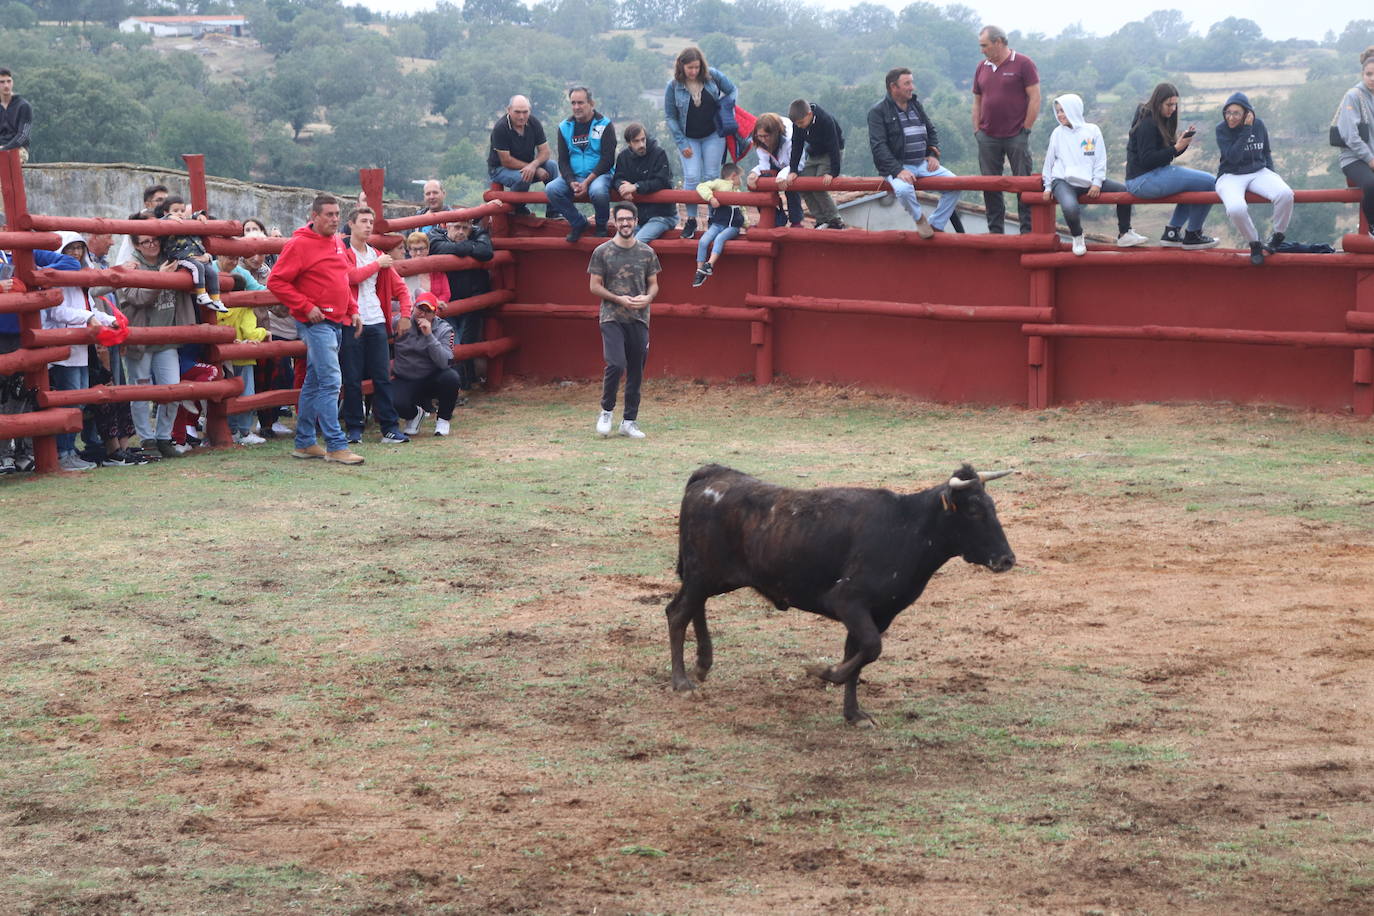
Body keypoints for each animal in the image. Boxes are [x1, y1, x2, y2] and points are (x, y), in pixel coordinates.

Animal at [670, 466, 1016, 725]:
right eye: (973, 510)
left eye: (992, 506)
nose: (1007, 559)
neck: (907, 528)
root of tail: (712, 474)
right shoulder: (848, 602)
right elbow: (871, 648)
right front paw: (823, 672)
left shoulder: (877, 614)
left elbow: (858, 653)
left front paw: (853, 713)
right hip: (704, 574)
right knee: (677, 613)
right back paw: (682, 683)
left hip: (708, 578)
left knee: (694, 607)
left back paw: (702, 664)